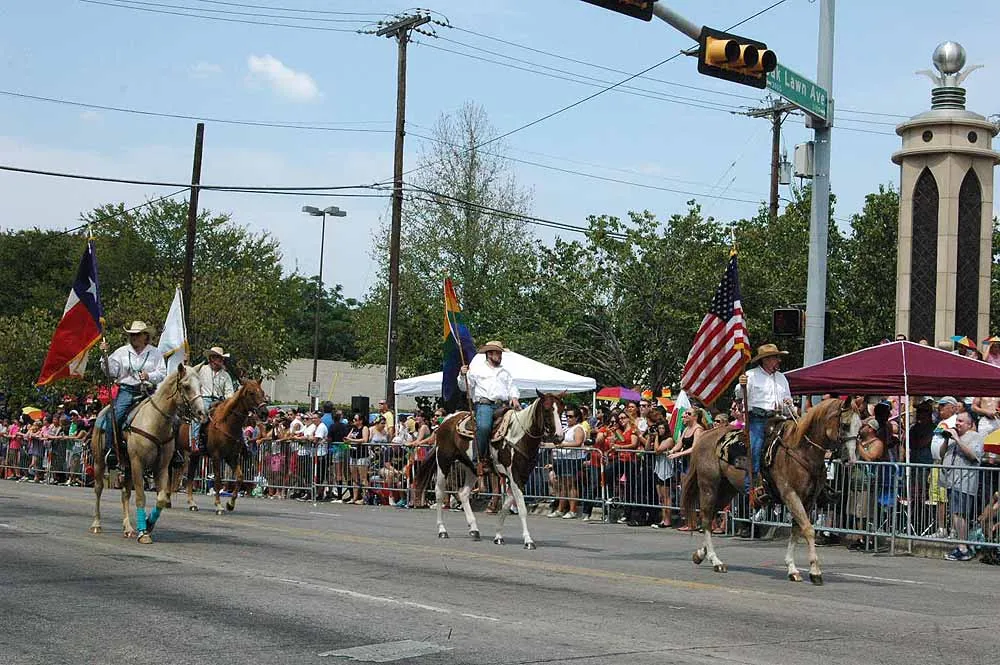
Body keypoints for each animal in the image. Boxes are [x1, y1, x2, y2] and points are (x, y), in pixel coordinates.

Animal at [89, 364, 207, 544]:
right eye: (186, 386)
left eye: (200, 386)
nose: (202, 413)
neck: (155, 422)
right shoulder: (138, 463)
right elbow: (140, 497)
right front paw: (143, 533)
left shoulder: (162, 467)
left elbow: (161, 499)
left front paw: (148, 524)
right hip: (99, 462)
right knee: (98, 489)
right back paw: (96, 524)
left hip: (127, 467)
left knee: (125, 494)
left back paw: (128, 528)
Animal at [173, 379, 267, 515]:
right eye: (251, 393)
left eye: (262, 392)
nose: (265, 412)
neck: (227, 424)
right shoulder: (216, 457)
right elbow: (218, 480)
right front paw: (218, 505)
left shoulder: (231, 457)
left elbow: (240, 477)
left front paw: (230, 504)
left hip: (194, 456)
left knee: (189, 477)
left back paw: (192, 503)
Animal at [413, 391, 564, 549]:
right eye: (546, 409)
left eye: (561, 410)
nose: (559, 436)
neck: (518, 437)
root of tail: (446, 420)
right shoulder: (514, 476)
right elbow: (522, 509)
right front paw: (528, 541)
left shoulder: (521, 477)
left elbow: (506, 506)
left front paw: (498, 536)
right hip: (443, 461)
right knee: (439, 493)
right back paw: (442, 530)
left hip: (472, 468)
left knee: (463, 493)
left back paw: (474, 530)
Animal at [681, 397, 857, 584]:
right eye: (845, 425)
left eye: (859, 427)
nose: (851, 459)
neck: (801, 451)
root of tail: (705, 436)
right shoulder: (791, 495)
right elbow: (808, 529)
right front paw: (815, 571)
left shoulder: (807, 500)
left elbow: (797, 530)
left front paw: (792, 568)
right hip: (709, 487)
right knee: (706, 518)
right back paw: (716, 561)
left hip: (727, 490)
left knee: (710, 516)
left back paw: (701, 554)